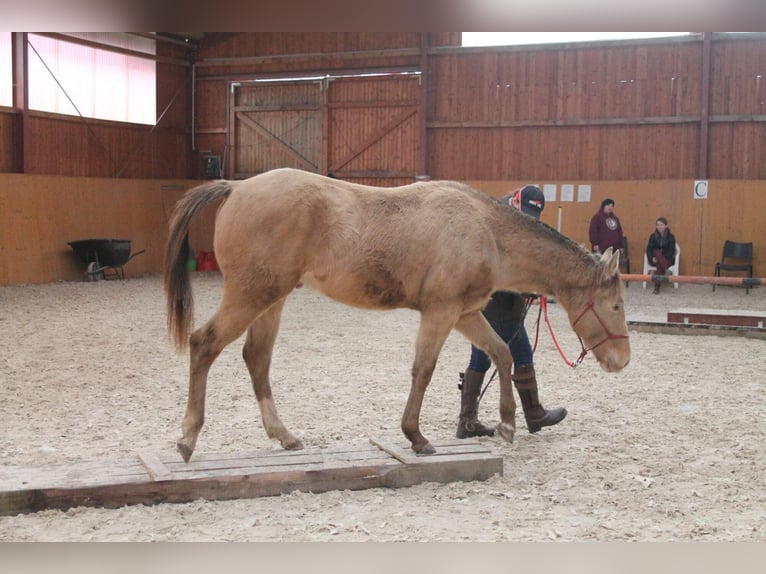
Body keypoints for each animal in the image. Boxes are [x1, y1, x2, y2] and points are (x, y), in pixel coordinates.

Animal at [165, 168, 630, 463]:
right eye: (616, 305)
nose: (622, 360)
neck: (487, 231)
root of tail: (236, 187)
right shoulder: (441, 312)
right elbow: (423, 370)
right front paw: (416, 437)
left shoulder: (465, 315)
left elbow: (501, 353)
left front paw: (507, 423)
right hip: (251, 295)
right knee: (204, 344)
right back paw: (188, 438)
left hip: (271, 300)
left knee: (257, 358)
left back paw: (285, 436)